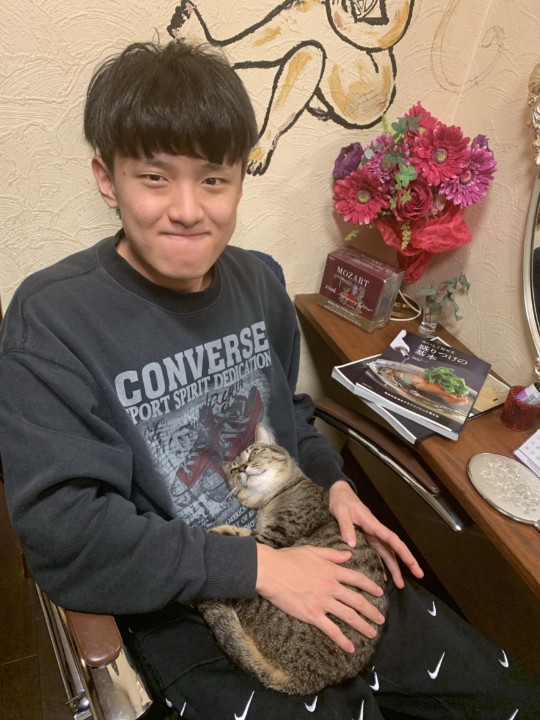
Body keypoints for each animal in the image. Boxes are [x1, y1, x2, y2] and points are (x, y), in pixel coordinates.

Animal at [196, 423, 389, 695]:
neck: (274, 496)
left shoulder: (274, 537)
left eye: (253, 452)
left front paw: (216, 531)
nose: (243, 468)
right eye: (234, 469)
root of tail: (308, 681)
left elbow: (245, 539)